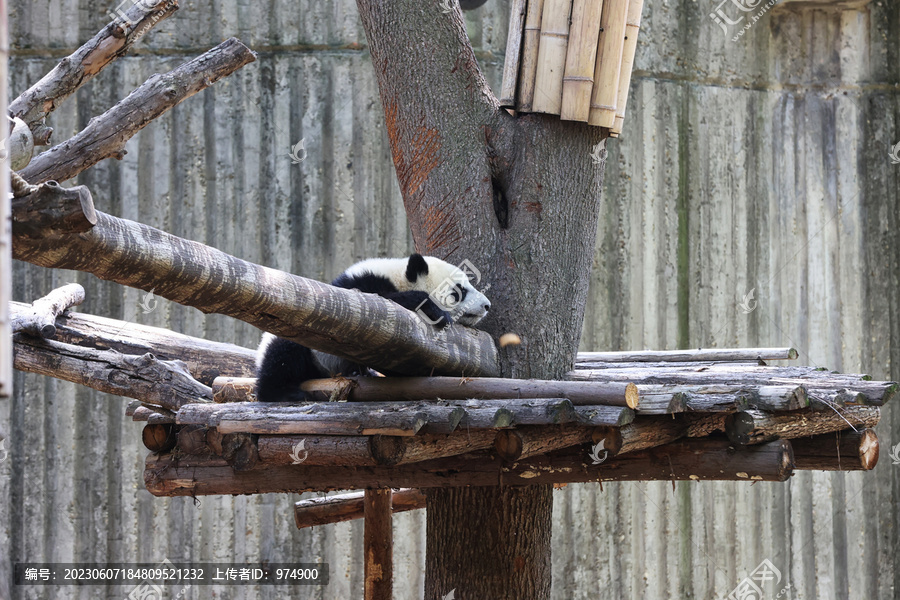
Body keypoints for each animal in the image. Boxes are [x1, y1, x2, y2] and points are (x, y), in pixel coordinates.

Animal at [253, 253, 492, 404]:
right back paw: (283, 393)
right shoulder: (360, 287)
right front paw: (435, 310)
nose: (486, 305)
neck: (397, 276)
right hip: (303, 345)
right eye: (459, 291)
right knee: (283, 354)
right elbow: (378, 304)